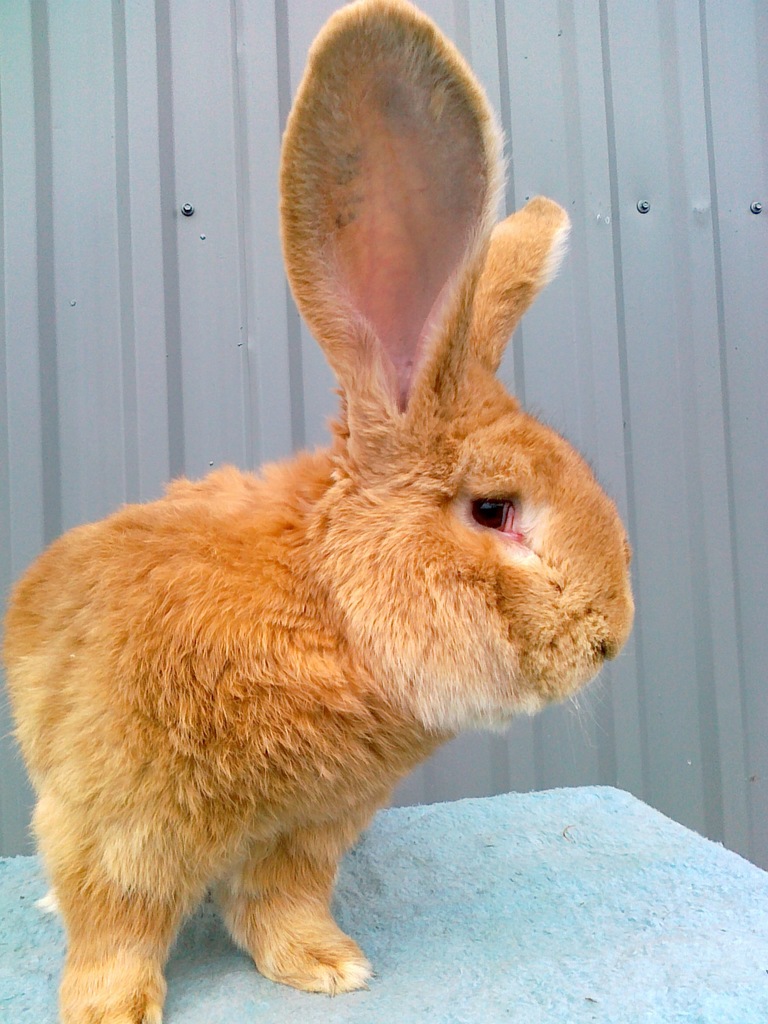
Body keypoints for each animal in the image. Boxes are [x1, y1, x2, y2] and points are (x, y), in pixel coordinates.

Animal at [3, 0, 634, 1019]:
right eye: (494, 510)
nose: (609, 638)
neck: (326, 603)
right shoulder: (114, 820)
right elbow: (116, 926)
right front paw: (109, 1010)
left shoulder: (306, 834)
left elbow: (280, 905)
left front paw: (328, 968)